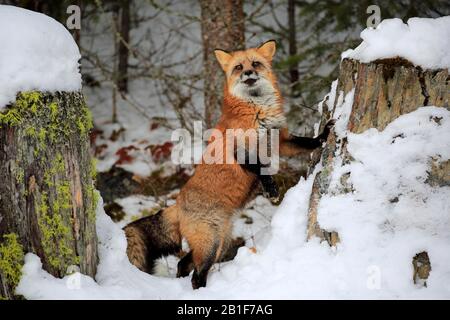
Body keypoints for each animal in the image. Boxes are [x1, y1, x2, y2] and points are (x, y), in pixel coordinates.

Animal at [124, 40, 334, 290]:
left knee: (183, 264)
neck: (257, 112)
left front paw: (324, 136)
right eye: (238, 67)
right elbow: (260, 169)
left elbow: (306, 142)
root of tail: (177, 204)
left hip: (220, 242)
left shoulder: (281, 141)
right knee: (196, 275)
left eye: (255, 64)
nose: (248, 73)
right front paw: (272, 190)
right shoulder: (238, 151)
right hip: (211, 245)